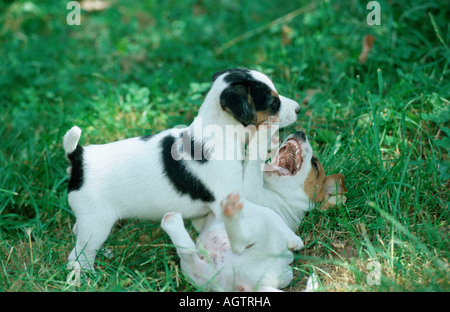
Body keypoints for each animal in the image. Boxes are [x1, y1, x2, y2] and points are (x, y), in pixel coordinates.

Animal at [63, 67, 300, 270]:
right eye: (273, 100)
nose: (298, 108)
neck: (219, 134)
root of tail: (78, 157)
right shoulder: (227, 200)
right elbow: (270, 213)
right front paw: (291, 238)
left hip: (91, 222)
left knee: (77, 234)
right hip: (97, 223)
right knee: (77, 255)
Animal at [160, 130, 346, 292]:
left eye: (315, 164)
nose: (300, 132)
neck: (278, 194)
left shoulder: (252, 191)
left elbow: (270, 211)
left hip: (256, 231)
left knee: (241, 240)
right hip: (196, 271)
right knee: (187, 252)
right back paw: (171, 221)